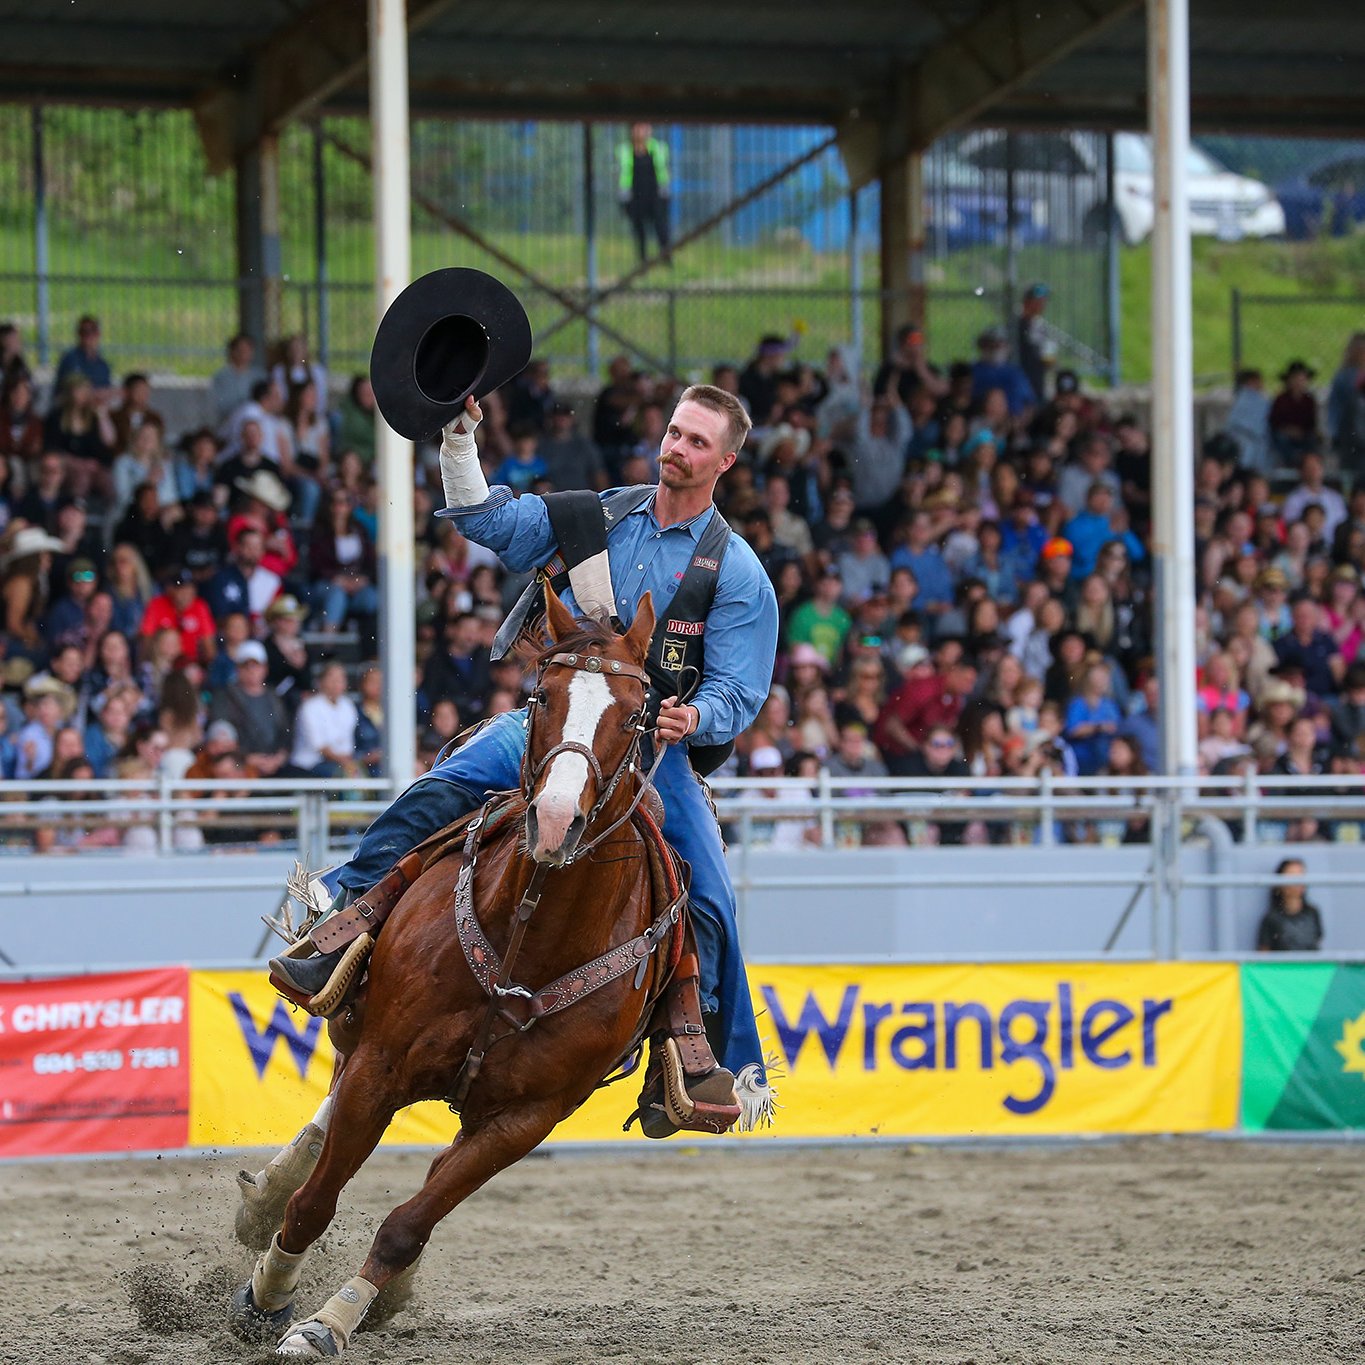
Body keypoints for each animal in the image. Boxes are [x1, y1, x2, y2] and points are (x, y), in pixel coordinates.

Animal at [232, 592, 693, 1359]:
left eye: (638, 713)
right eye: (540, 695)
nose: (556, 820)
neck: (527, 943)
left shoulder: (524, 1119)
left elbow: (408, 1223)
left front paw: (332, 1320)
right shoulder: (381, 1064)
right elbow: (316, 1200)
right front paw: (269, 1295)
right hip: (359, 1027)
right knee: (324, 1120)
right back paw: (266, 1194)